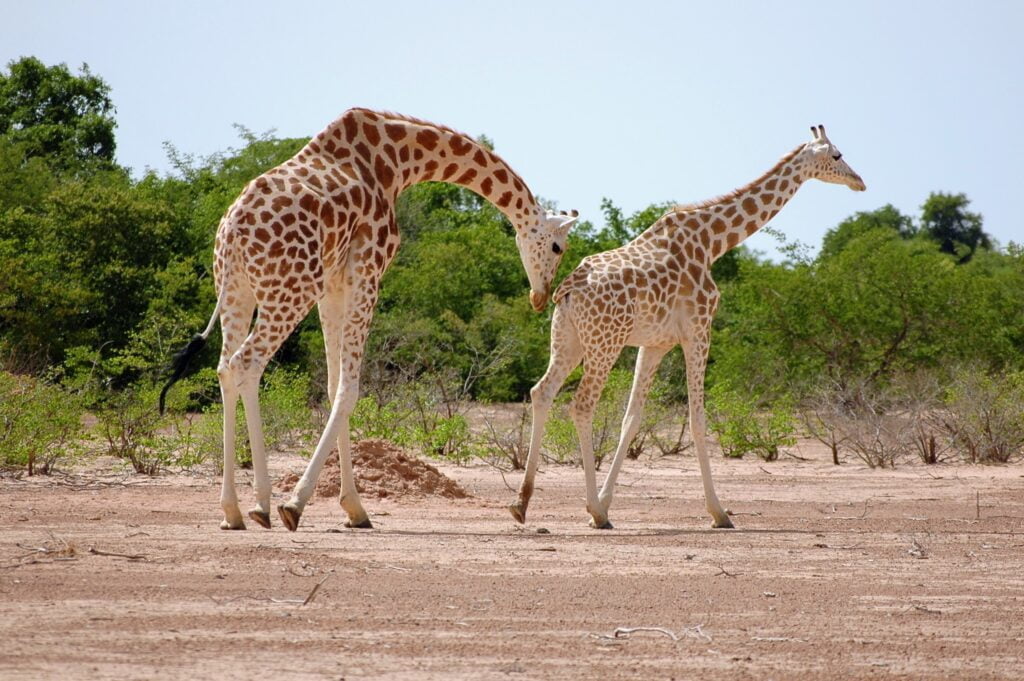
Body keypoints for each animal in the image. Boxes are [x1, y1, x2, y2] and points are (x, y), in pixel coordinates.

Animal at [159, 107, 577, 532]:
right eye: (557, 247)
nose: (540, 296)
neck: (398, 162)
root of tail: (233, 231)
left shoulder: (333, 282)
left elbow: (332, 387)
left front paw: (354, 509)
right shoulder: (369, 266)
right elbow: (350, 388)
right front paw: (297, 504)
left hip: (236, 290)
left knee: (225, 368)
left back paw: (232, 511)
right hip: (290, 290)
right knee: (247, 364)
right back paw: (260, 504)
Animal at [509, 127, 864, 532]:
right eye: (837, 155)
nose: (860, 181)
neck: (712, 242)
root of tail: (566, 290)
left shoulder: (655, 344)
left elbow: (631, 419)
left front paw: (608, 500)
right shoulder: (699, 330)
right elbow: (697, 419)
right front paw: (718, 513)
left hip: (568, 341)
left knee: (541, 392)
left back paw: (522, 504)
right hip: (605, 343)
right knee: (582, 406)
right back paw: (595, 513)